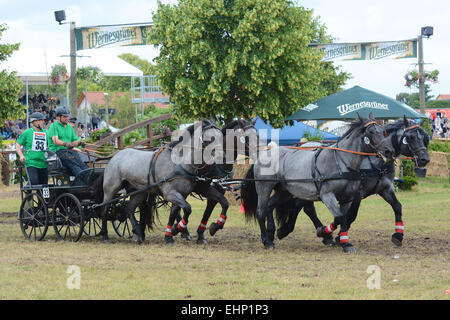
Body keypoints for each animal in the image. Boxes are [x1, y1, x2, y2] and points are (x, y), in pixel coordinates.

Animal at [239, 112, 394, 252]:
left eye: (384, 131)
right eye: (372, 132)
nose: (389, 151)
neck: (342, 162)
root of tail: (262, 154)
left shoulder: (347, 198)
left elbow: (342, 218)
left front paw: (341, 240)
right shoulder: (327, 195)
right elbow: (340, 217)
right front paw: (331, 236)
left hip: (285, 191)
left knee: (270, 205)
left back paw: (274, 233)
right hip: (264, 187)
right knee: (261, 211)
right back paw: (267, 241)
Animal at [276, 117, 430, 248]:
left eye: (425, 138)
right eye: (410, 137)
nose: (425, 159)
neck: (374, 161)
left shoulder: (385, 188)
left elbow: (397, 206)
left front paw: (398, 235)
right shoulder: (358, 193)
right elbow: (350, 215)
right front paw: (337, 236)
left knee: (303, 207)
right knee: (301, 206)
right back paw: (289, 231)